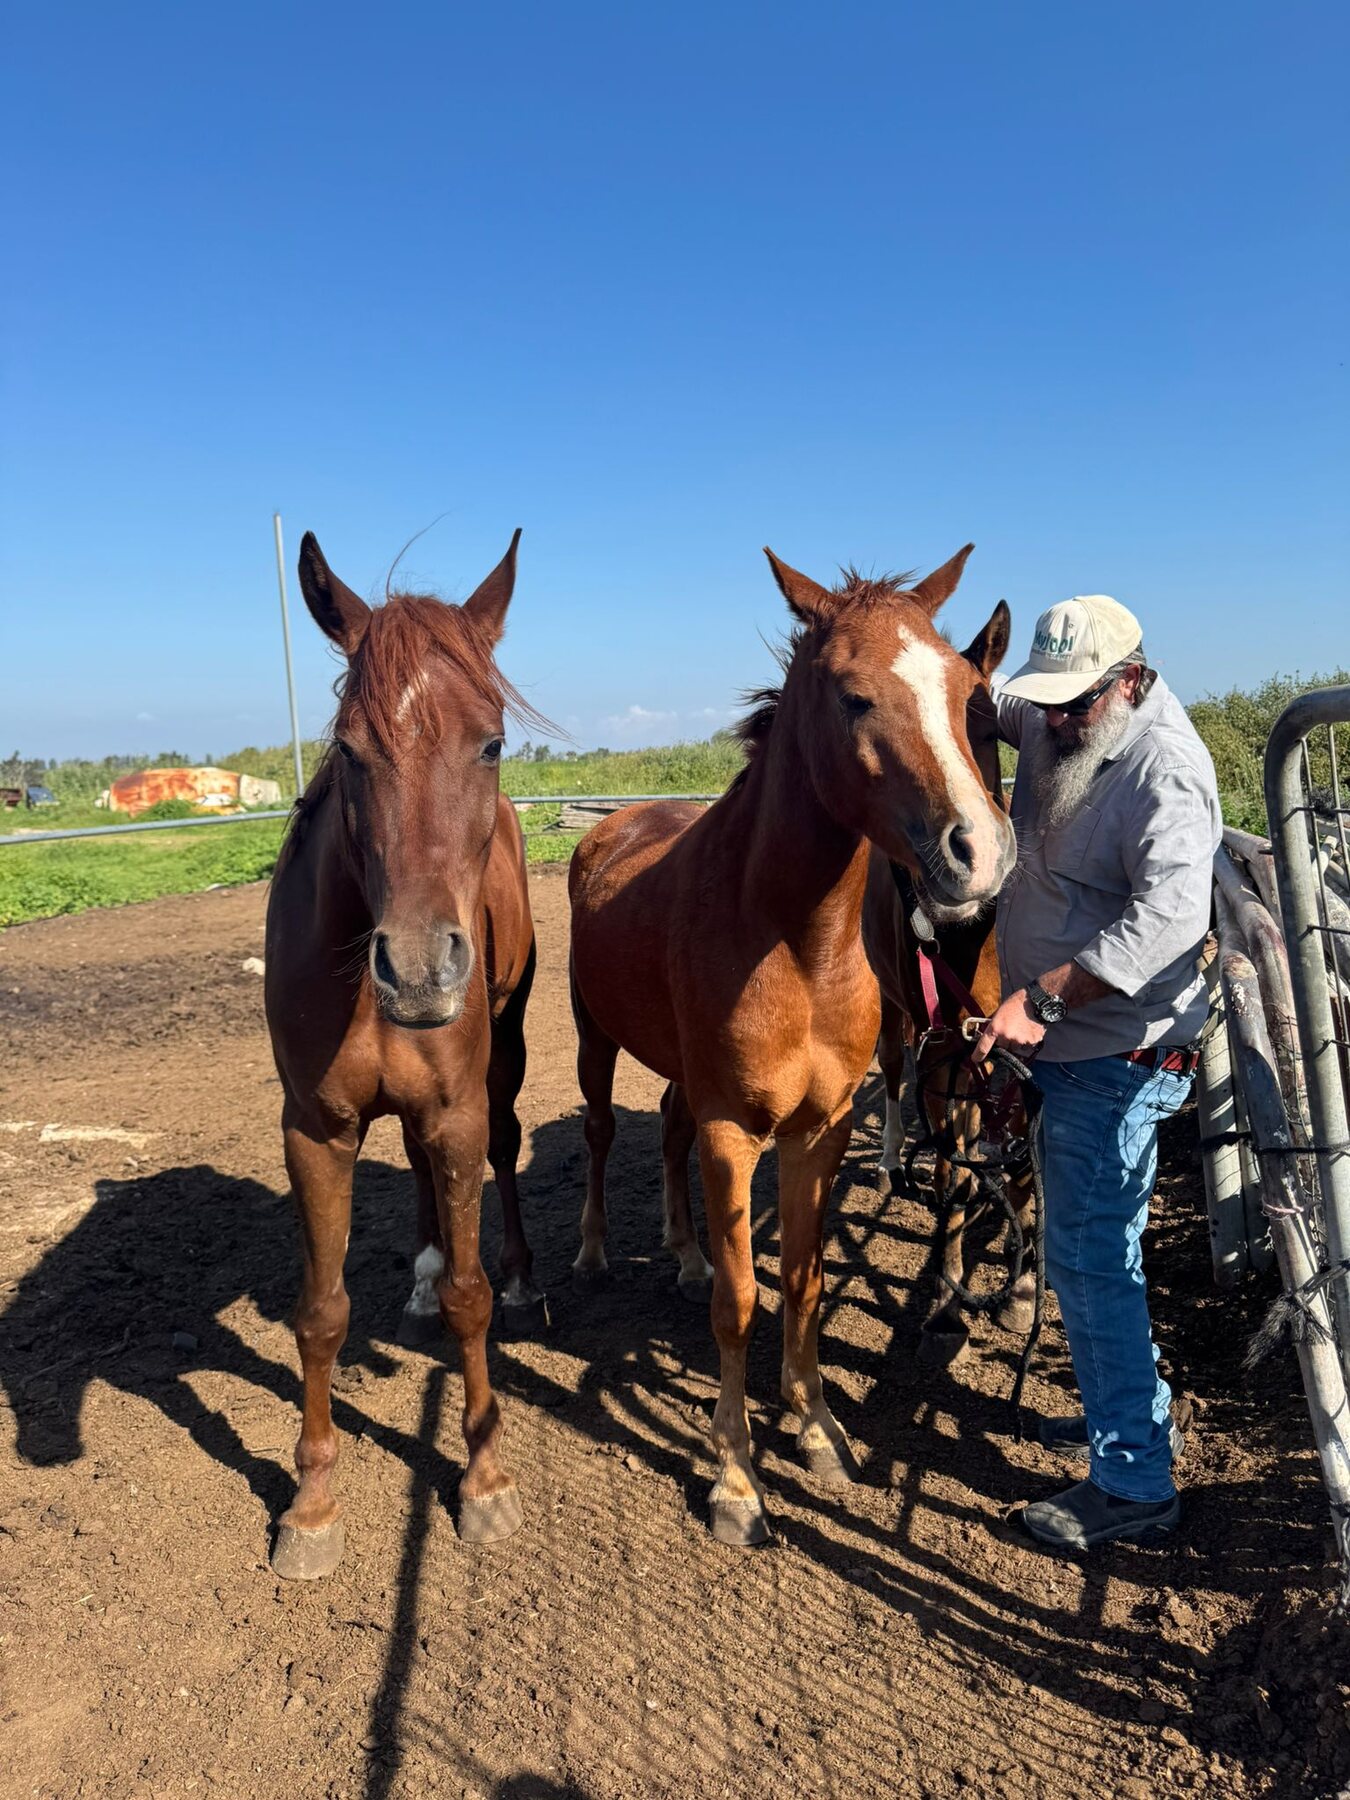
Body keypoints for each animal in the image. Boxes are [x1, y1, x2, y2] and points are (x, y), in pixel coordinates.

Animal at [263, 528, 546, 1579]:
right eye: (349, 749)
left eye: (492, 742)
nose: (421, 968)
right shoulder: (317, 1131)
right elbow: (321, 1312)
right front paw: (311, 1503)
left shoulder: (458, 1110)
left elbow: (471, 1299)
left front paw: (487, 1482)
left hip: (501, 1062)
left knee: (500, 1157)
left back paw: (522, 1272)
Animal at [567, 543, 1017, 1545]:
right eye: (853, 696)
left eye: (970, 691)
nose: (980, 853)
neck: (792, 943)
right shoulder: (737, 1134)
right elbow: (742, 1301)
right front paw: (736, 1480)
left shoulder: (821, 1128)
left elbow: (806, 1283)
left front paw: (813, 1428)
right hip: (592, 1040)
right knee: (601, 1134)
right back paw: (593, 1255)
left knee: (666, 1129)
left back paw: (683, 1252)